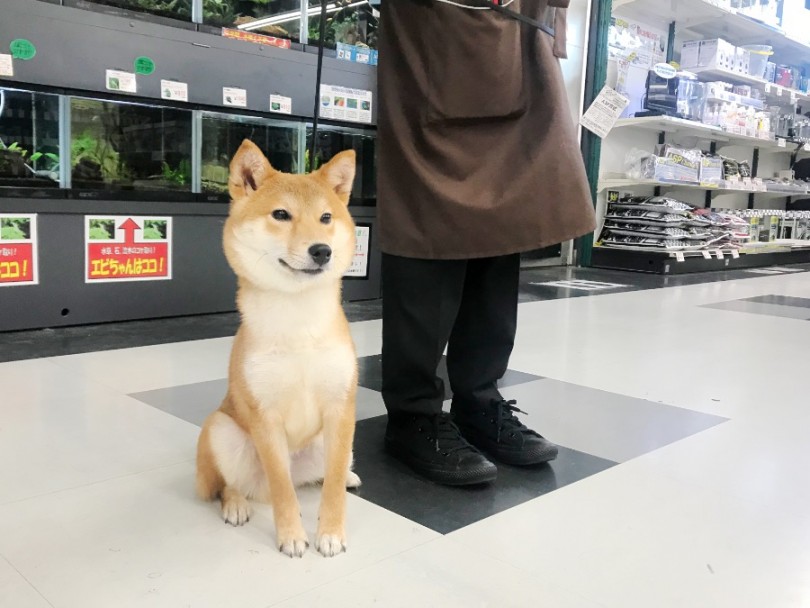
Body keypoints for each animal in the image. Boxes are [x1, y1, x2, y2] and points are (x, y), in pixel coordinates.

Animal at [194, 140, 358, 560]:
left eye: (326, 217)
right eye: (281, 215)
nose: (322, 250)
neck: (298, 318)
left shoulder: (340, 408)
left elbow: (332, 485)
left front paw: (330, 532)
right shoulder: (265, 417)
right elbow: (282, 488)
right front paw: (292, 536)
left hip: (331, 446)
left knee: (322, 476)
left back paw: (347, 476)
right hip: (221, 429)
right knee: (231, 484)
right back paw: (237, 504)